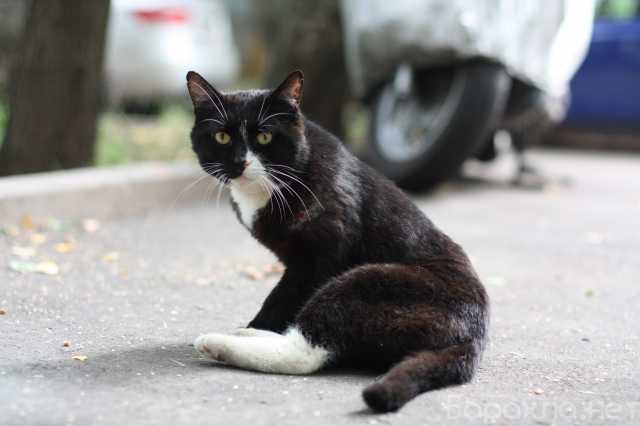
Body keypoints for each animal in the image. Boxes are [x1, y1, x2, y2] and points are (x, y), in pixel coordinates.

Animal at [186, 70, 489, 413]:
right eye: (221, 138)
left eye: (264, 137)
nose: (240, 162)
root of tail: (472, 339)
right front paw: (256, 327)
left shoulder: (320, 255)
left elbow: (280, 298)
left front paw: (256, 324)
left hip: (365, 282)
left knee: (306, 353)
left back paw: (220, 342)